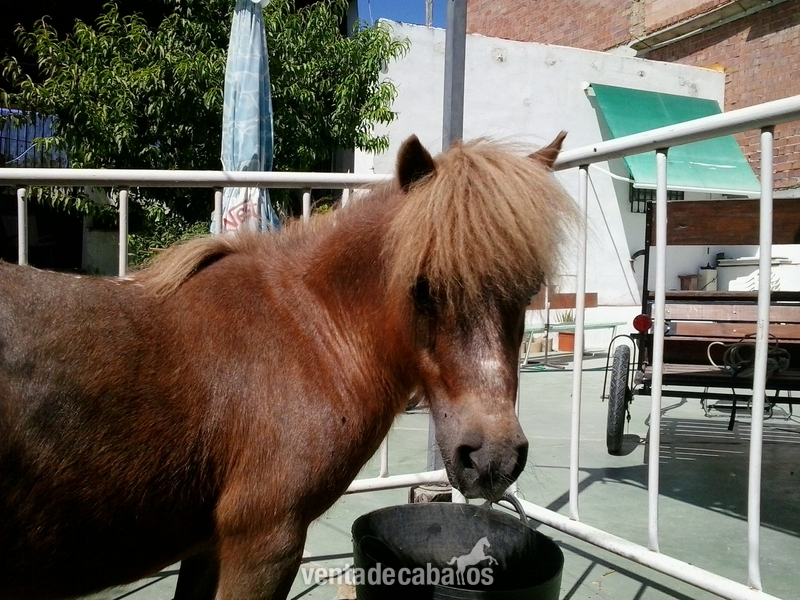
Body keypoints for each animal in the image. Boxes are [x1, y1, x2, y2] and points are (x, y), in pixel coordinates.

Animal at [0, 133, 576, 600]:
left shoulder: (208, 547)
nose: (493, 459)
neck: (305, 334)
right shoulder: (264, 546)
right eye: (422, 287)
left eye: (529, 290)